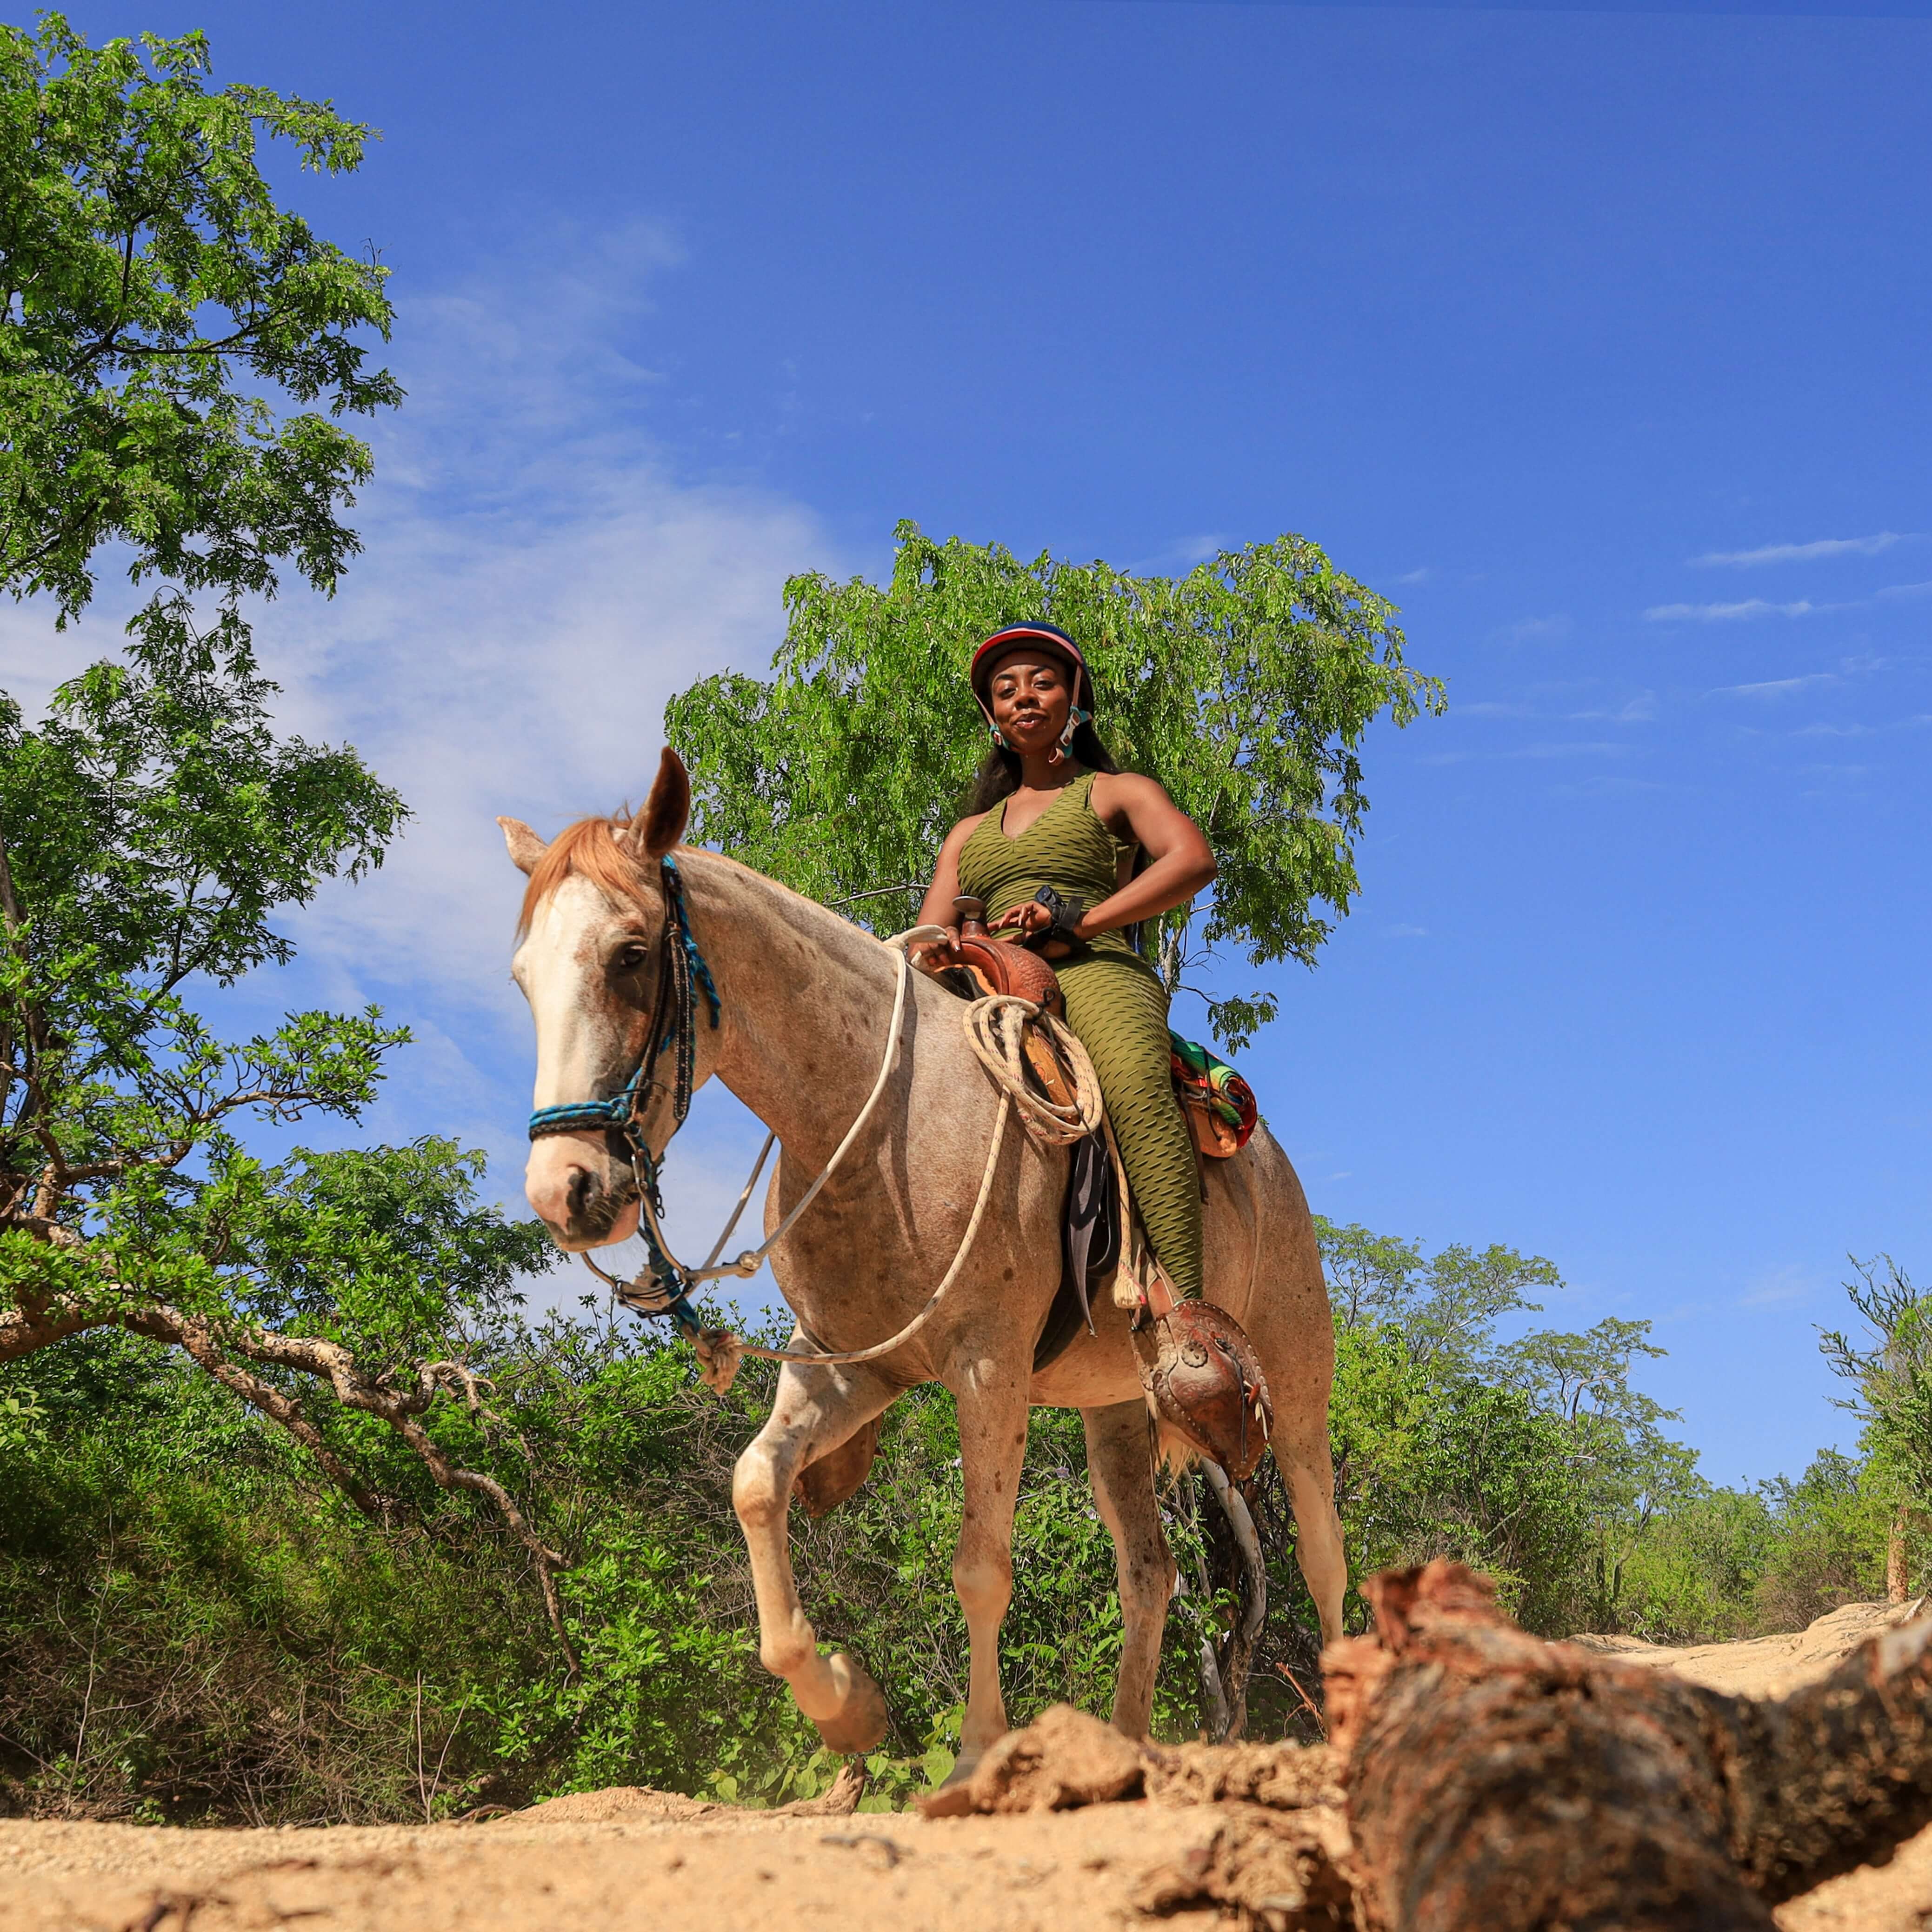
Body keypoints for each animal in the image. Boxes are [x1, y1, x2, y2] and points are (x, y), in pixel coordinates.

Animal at [498, 746, 1345, 1770]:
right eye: (522, 976)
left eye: (628, 953)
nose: (564, 1189)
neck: (879, 1116)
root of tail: (1268, 1161)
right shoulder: (850, 1366)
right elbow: (755, 1483)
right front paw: (843, 1703)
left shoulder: (987, 1368)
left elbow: (980, 1567)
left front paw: (978, 1749)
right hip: (1114, 1409)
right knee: (1151, 1573)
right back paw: (1120, 1745)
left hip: (1293, 1379)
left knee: (1322, 1554)